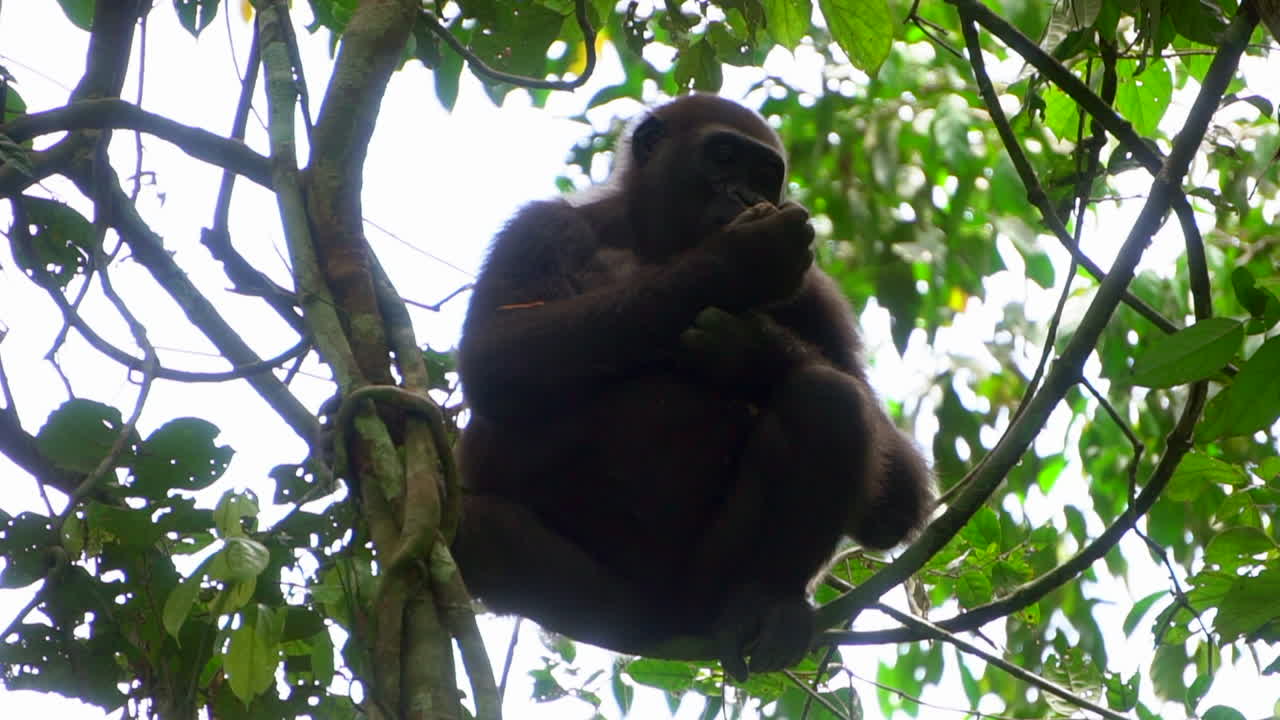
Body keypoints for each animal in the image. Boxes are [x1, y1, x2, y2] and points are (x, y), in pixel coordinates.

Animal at [450, 94, 933, 680]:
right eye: (723, 157)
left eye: (765, 175)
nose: (747, 196)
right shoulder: (538, 227)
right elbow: (495, 356)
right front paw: (737, 263)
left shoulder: (816, 290)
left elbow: (898, 500)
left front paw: (752, 350)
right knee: (478, 525)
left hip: (712, 582)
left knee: (828, 399)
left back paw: (771, 603)